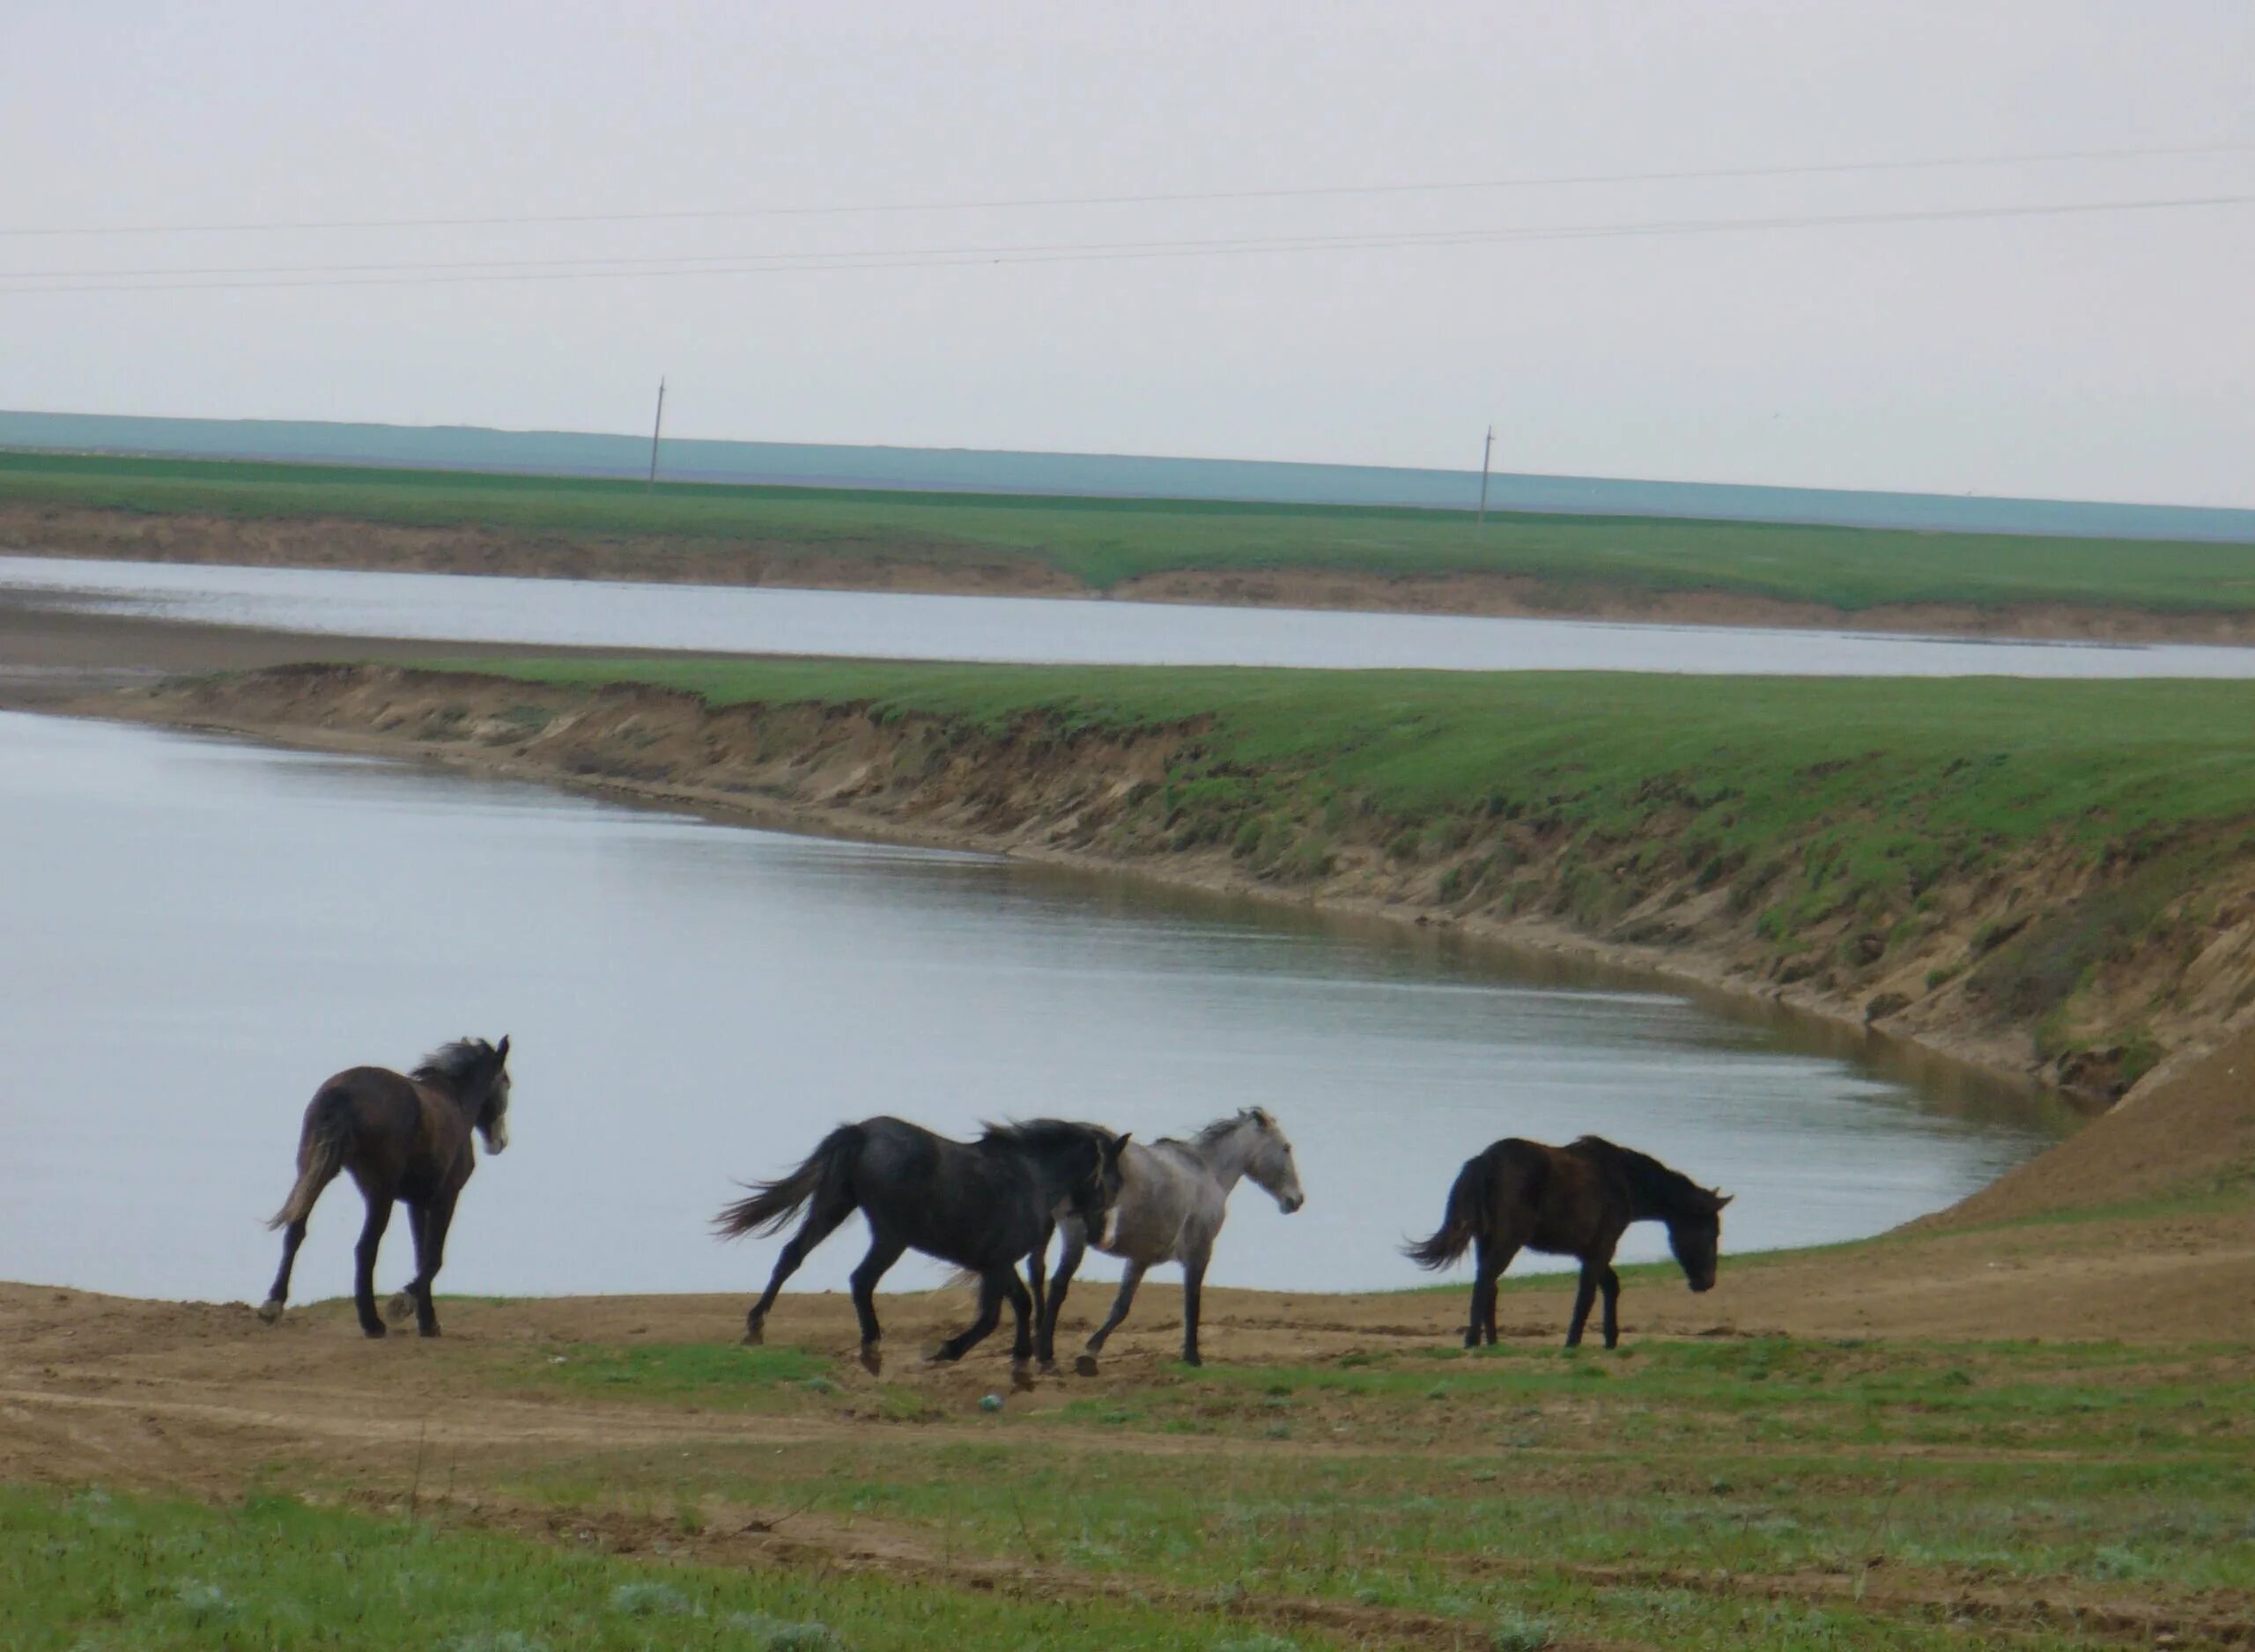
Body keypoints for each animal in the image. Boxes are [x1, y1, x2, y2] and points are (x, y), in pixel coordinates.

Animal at [258, 1032, 514, 1343]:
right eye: (506, 1082)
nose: (500, 1143)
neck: (454, 1102)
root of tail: (344, 1091)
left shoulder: (417, 1203)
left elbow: (421, 1256)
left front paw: (427, 1321)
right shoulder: (445, 1198)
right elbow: (433, 1258)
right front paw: (403, 1303)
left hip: (314, 1173)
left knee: (296, 1231)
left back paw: (273, 1304)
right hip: (379, 1192)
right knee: (365, 1247)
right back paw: (372, 1322)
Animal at [712, 1113, 1128, 1388]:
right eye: (1115, 1180)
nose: (1100, 1234)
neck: (1032, 1178)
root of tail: (862, 1132)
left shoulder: (995, 1264)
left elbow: (1010, 1308)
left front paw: (1014, 1361)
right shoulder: (997, 1263)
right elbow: (999, 1314)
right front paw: (949, 1351)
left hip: (832, 1208)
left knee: (791, 1256)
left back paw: (756, 1326)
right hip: (891, 1235)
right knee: (860, 1280)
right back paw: (872, 1349)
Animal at [1037, 1109, 1307, 1370]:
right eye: (1286, 1147)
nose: (1296, 1200)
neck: (1207, 1170)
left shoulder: (1140, 1258)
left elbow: (1121, 1307)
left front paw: (1089, 1355)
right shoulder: (1199, 1252)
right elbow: (1192, 1303)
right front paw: (1192, 1357)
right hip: (1074, 1231)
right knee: (1058, 1285)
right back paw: (1045, 1359)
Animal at [1398, 1135, 1732, 1352]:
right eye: (1711, 1232)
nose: (1707, 1282)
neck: (1624, 1179)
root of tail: (1485, 1161)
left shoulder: (1590, 1250)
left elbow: (1609, 1287)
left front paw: (1611, 1339)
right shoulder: (1602, 1246)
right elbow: (1587, 1294)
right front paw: (1574, 1342)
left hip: (1487, 1239)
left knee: (1489, 1284)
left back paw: (1492, 1341)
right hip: (1508, 1240)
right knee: (1485, 1282)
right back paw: (1472, 1341)